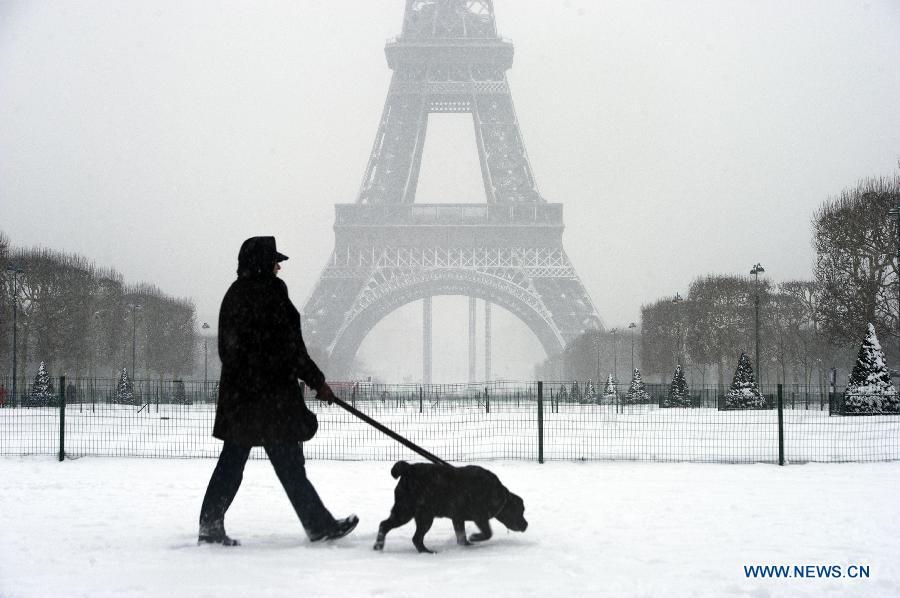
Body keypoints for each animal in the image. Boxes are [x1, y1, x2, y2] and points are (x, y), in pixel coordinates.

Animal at [372, 462, 528, 556]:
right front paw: (475, 537)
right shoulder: (480, 517)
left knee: (393, 528)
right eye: (520, 511)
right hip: (412, 513)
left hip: (413, 514)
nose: (526, 525)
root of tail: (409, 468)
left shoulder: (458, 518)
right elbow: (488, 533)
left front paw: (466, 545)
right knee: (409, 535)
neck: (498, 494)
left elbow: (461, 536)